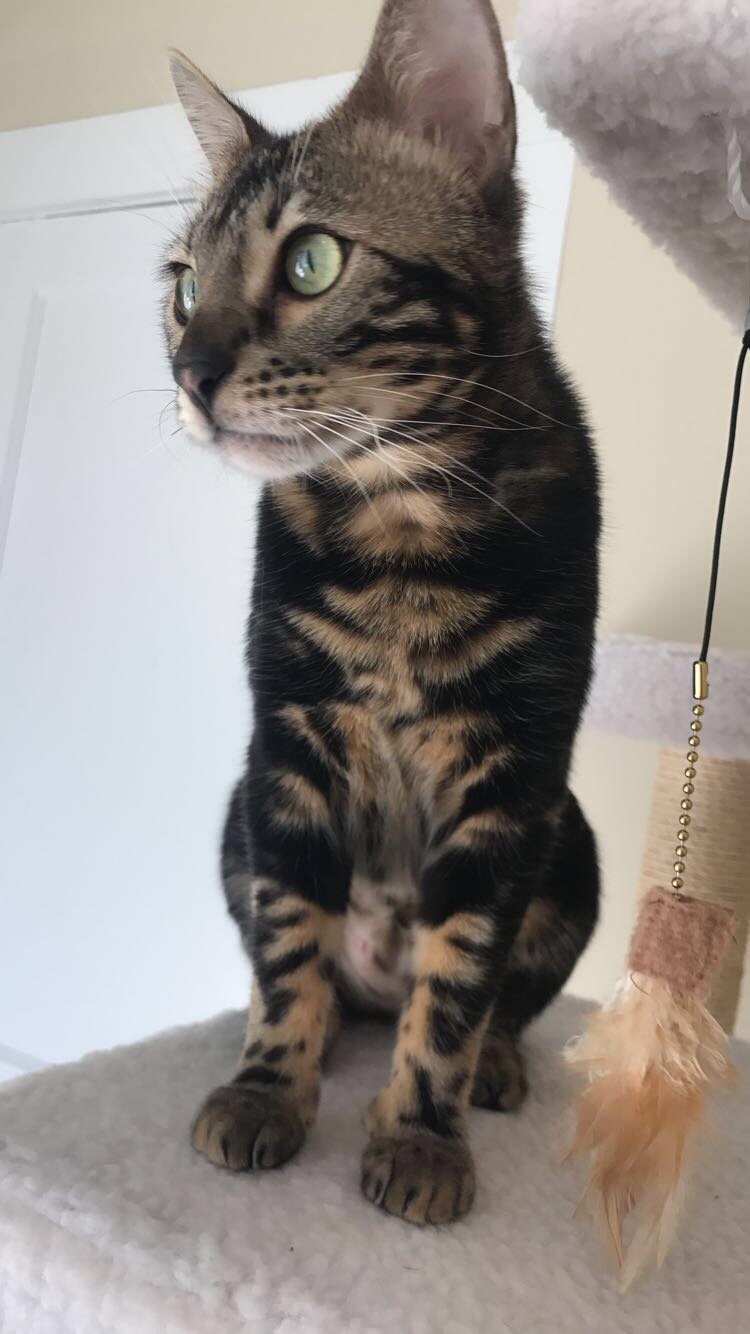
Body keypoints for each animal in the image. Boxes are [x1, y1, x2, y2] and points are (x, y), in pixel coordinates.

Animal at [165, 0, 600, 1225]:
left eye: (313, 260)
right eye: (182, 283)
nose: (187, 370)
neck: (400, 532)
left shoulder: (512, 777)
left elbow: (458, 983)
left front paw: (421, 1135)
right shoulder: (291, 744)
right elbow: (288, 945)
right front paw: (268, 1088)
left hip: (576, 844)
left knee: (504, 997)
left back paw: (492, 1066)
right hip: (238, 803)